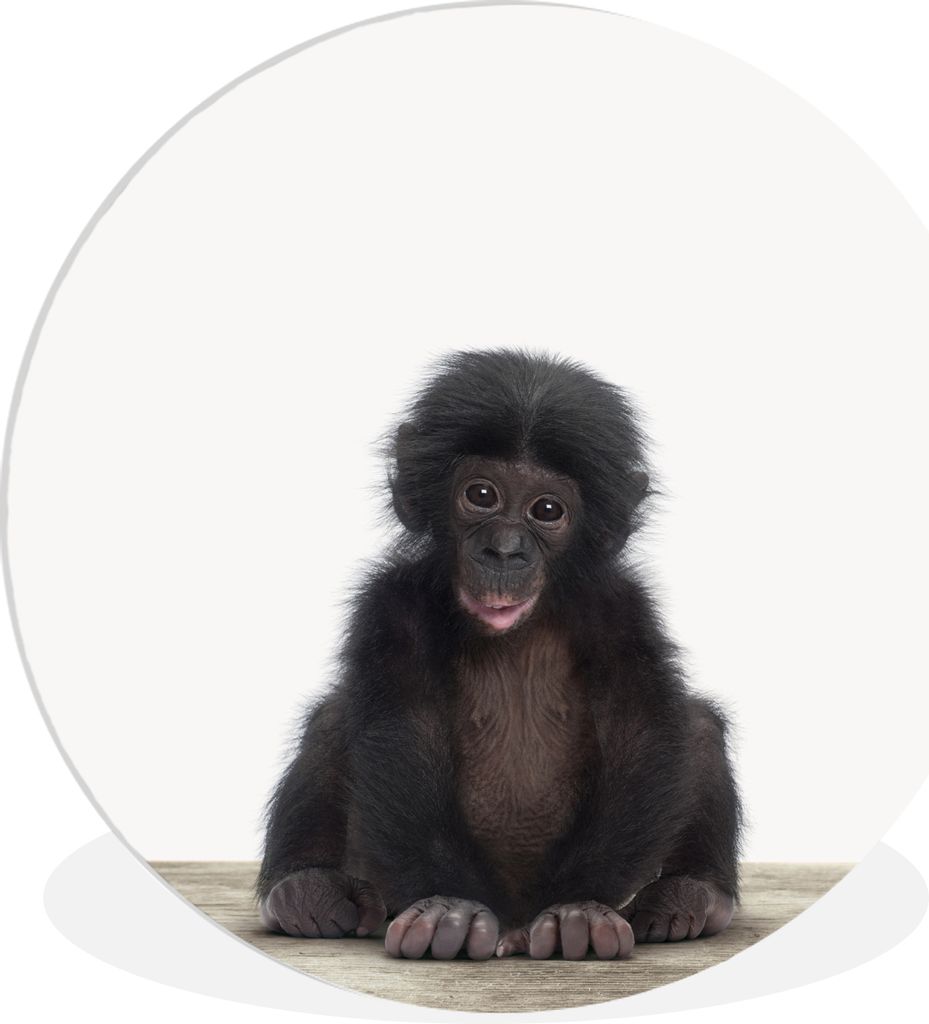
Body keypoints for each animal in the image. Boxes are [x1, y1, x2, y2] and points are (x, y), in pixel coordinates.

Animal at [256, 349, 741, 960]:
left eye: (547, 509)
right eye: (481, 495)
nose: (505, 550)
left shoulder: (624, 610)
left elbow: (642, 735)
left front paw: (578, 912)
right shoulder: (391, 603)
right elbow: (401, 735)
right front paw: (450, 911)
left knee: (697, 725)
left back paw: (690, 897)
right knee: (332, 719)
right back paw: (305, 892)